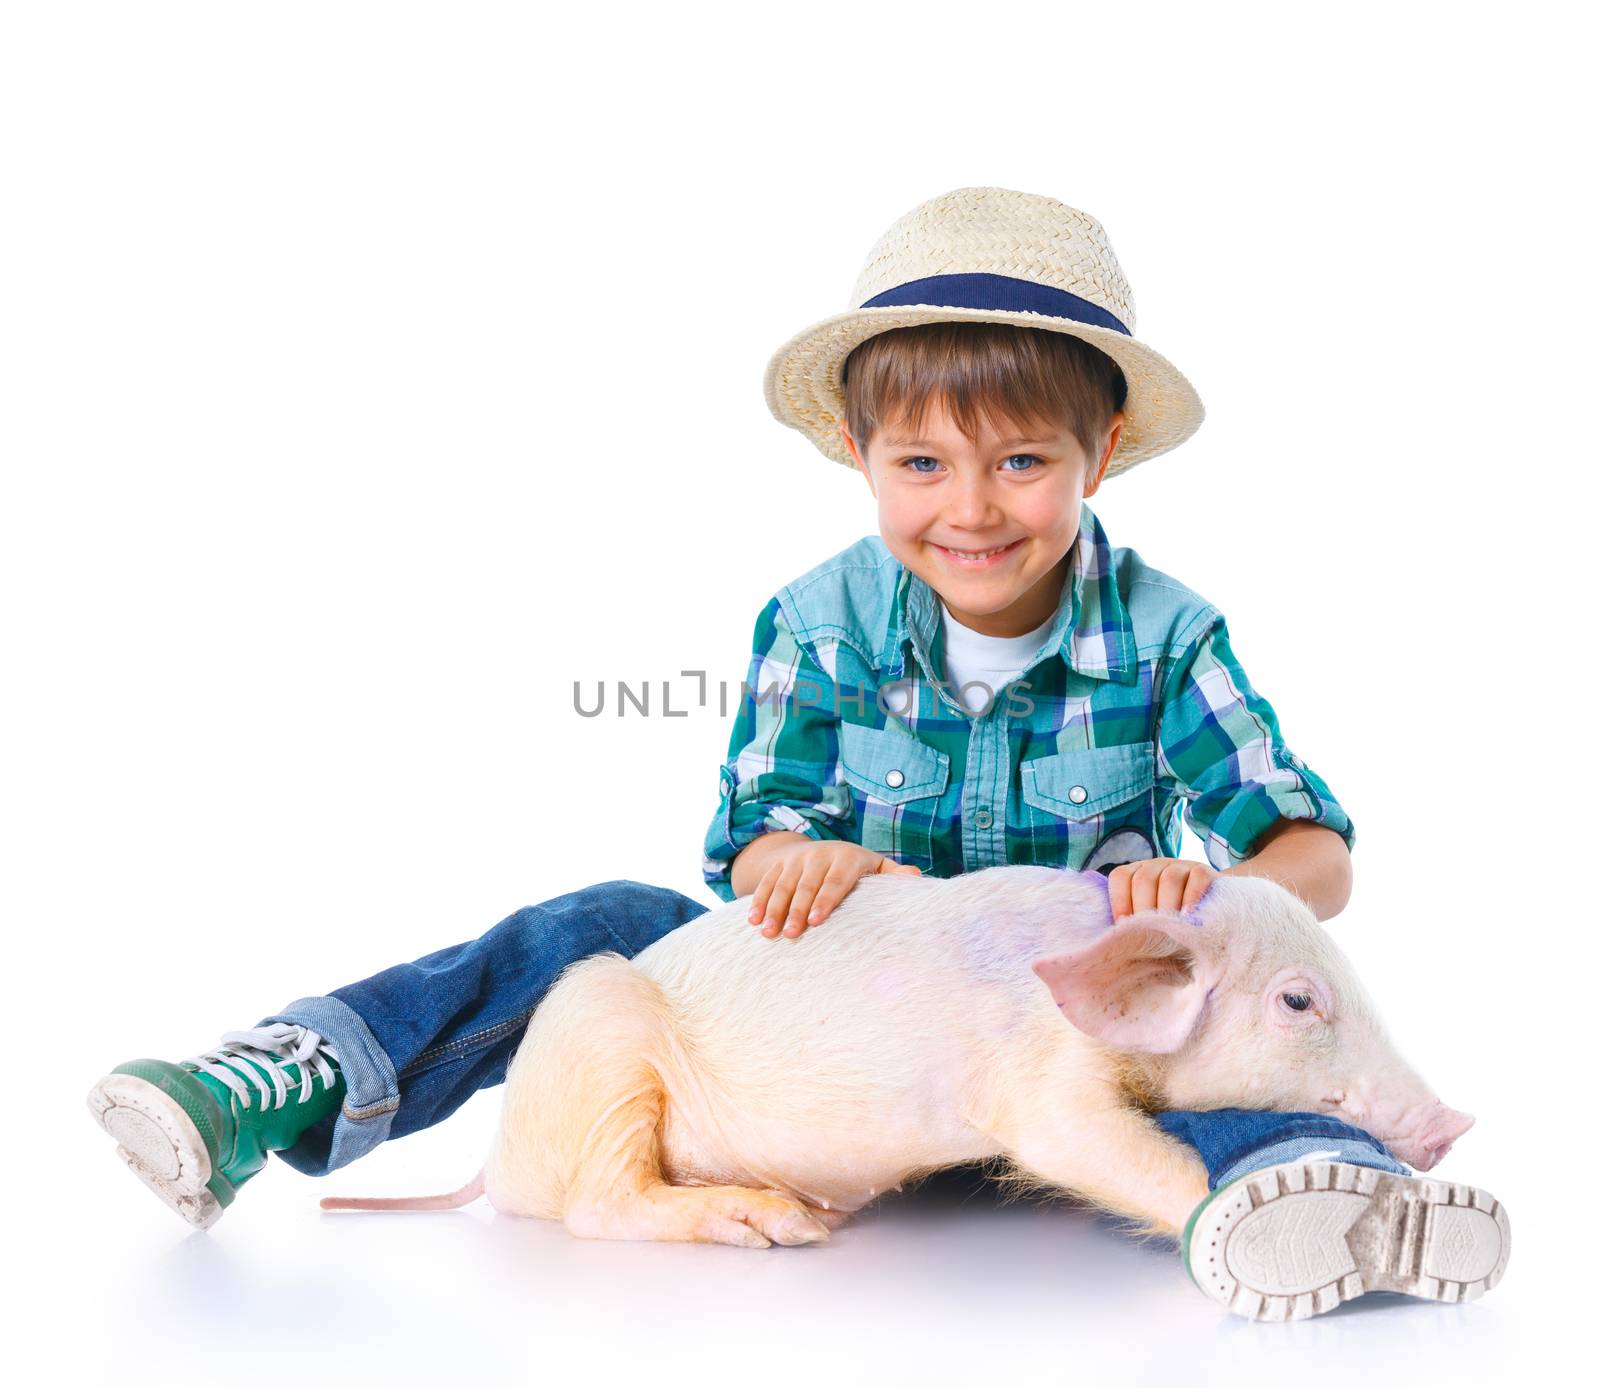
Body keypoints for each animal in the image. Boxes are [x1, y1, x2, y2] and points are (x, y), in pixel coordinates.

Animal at [318, 869, 1478, 1266]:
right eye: (1298, 1001)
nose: (1453, 1123)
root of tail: (499, 1157)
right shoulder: (1036, 1083)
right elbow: (1103, 1148)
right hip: (600, 1042)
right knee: (601, 1203)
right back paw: (783, 1227)